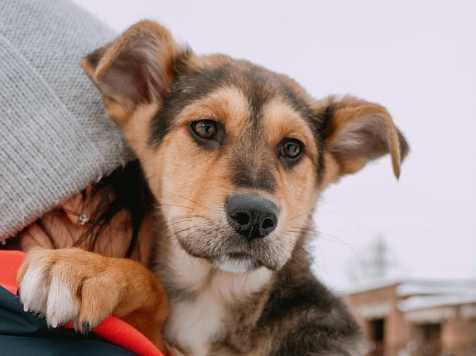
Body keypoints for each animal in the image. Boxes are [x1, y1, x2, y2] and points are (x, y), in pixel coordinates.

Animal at [15, 20, 410, 356]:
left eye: (292, 148)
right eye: (205, 128)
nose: (256, 217)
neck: (211, 293)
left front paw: (83, 269)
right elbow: (154, 290)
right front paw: (88, 268)